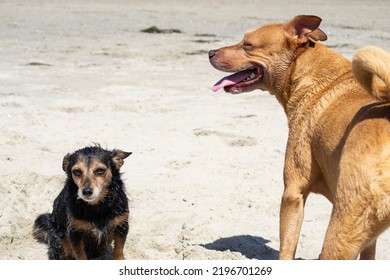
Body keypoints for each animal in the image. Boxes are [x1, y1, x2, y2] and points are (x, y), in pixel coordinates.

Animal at [209, 15, 390, 260]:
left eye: (247, 44)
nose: (210, 52)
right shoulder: (370, 238)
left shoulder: (293, 192)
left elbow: (286, 250)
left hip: (342, 230)